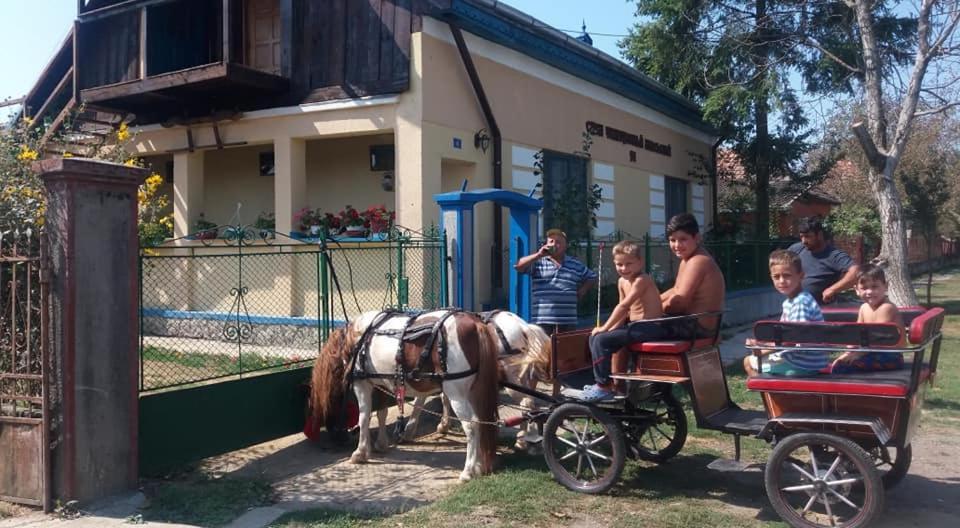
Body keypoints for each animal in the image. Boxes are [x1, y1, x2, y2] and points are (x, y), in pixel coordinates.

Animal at [310, 310, 506, 482]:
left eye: (330, 400)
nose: (333, 434)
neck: (358, 339)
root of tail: (475, 324)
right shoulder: (381, 383)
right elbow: (381, 413)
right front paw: (381, 444)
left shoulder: (362, 383)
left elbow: (364, 417)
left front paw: (360, 452)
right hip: (474, 391)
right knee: (482, 422)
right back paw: (479, 466)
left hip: (456, 393)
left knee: (472, 425)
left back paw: (468, 471)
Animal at [404, 310, 556, 450]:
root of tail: (523, 326)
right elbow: (443, 398)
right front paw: (444, 425)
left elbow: (423, 399)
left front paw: (409, 430)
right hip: (525, 378)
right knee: (530, 403)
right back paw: (528, 435)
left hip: (511, 379)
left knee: (526, 402)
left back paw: (522, 439)